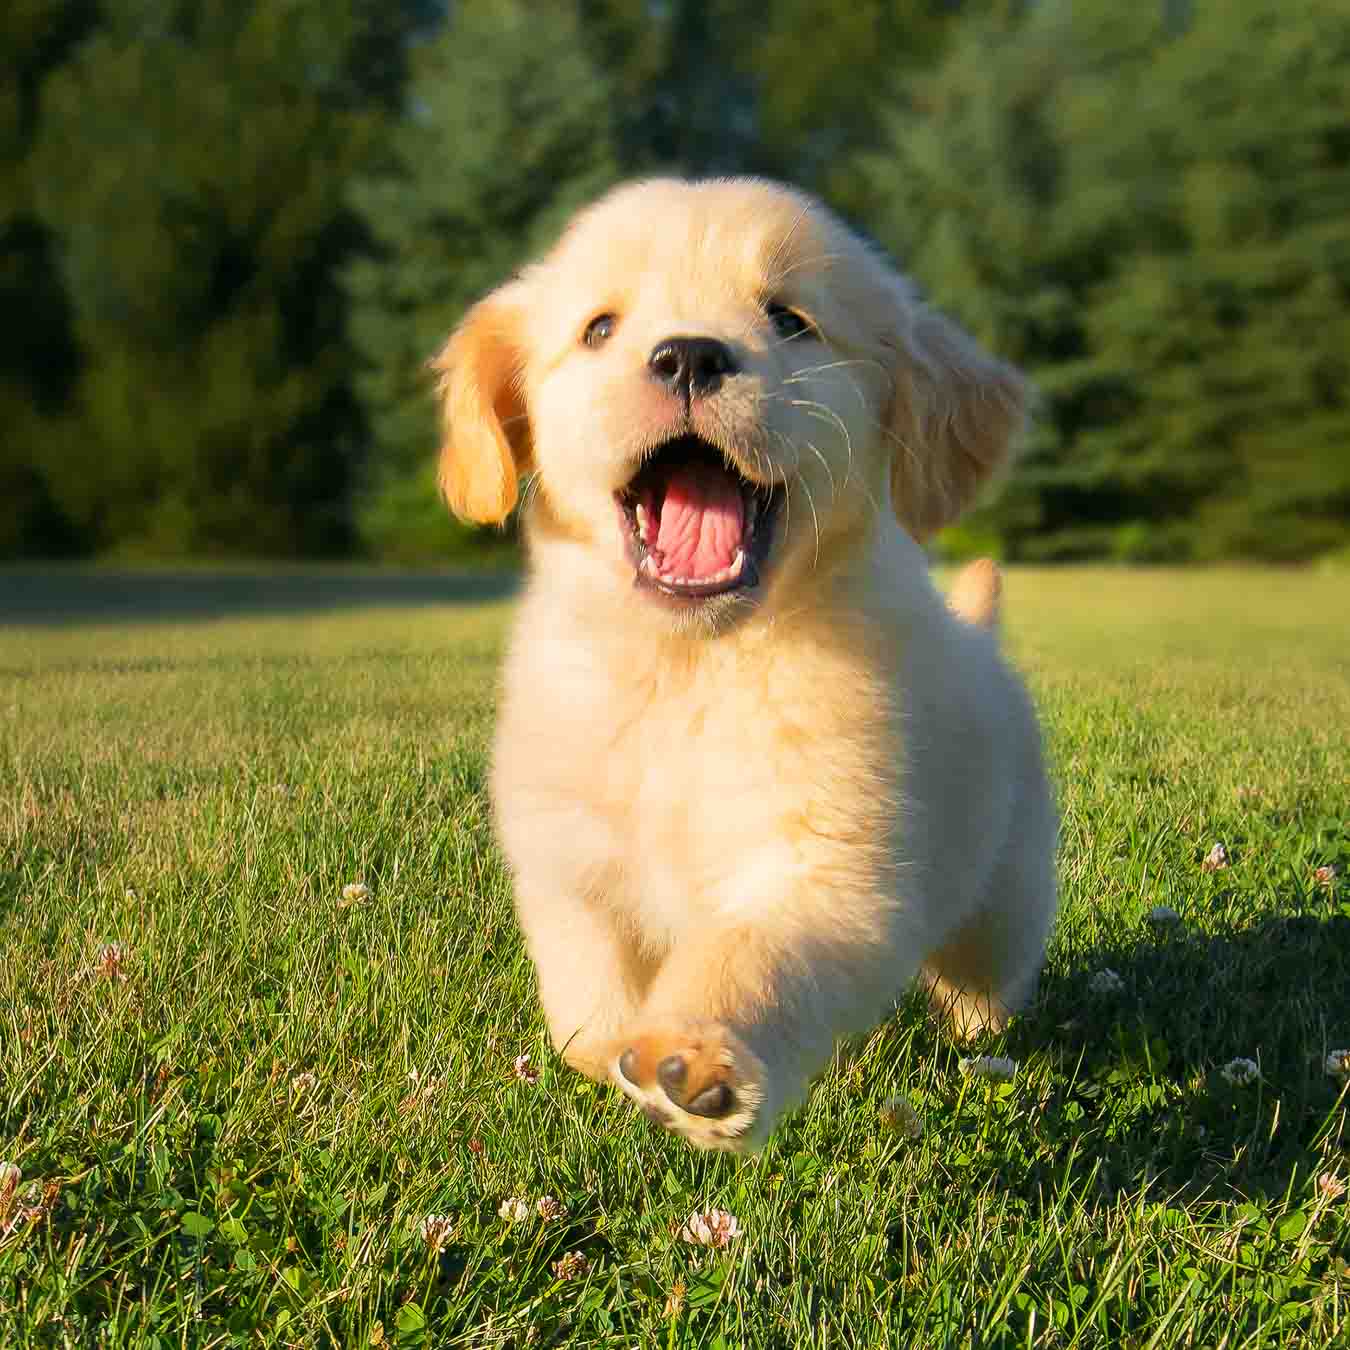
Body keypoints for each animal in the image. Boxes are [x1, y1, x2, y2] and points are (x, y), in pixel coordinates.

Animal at [437, 176, 1058, 1150]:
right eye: (600, 328)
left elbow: (752, 954)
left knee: (989, 977)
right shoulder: (569, 853)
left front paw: (692, 1057)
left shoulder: (828, 867)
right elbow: (587, 978)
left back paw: (980, 1034)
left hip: (1003, 894)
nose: (689, 355)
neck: (691, 665)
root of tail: (978, 635)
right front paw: (608, 1050)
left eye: (789, 318)